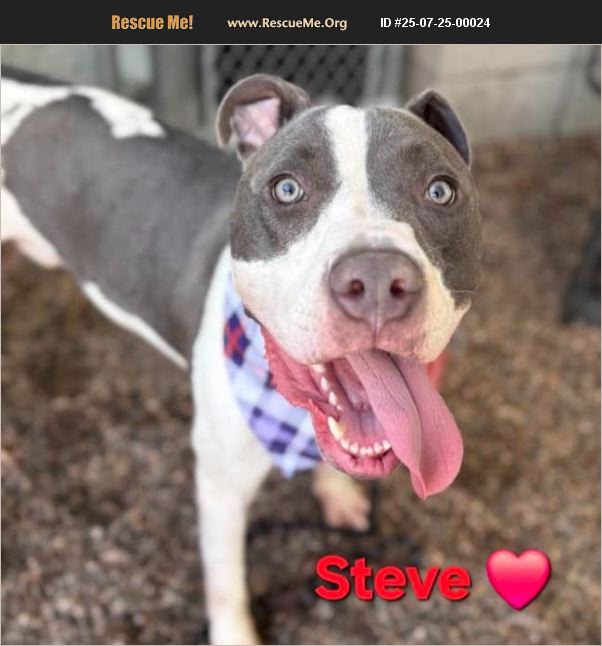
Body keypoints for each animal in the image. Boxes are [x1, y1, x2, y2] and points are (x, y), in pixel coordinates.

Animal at [1, 67, 481, 644]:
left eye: (440, 190)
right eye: (287, 188)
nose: (377, 278)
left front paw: (337, 492)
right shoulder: (221, 485)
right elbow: (226, 580)